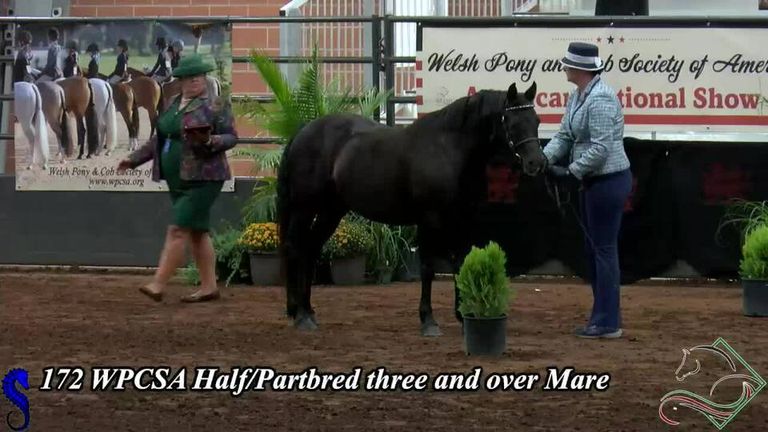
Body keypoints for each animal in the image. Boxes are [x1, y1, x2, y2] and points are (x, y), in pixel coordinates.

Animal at [277, 82, 547, 335]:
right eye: (511, 122)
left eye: (536, 120)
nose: (536, 163)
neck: (447, 148)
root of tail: (303, 132)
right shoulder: (429, 220)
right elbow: (428, 268)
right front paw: (428, 321)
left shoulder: (460, 220)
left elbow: (460, 264)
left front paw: (464, 317)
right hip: (304, 208)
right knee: (295, 248)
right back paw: (300, 315)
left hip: (332, 210)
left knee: (311, 249)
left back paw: (308, 311)